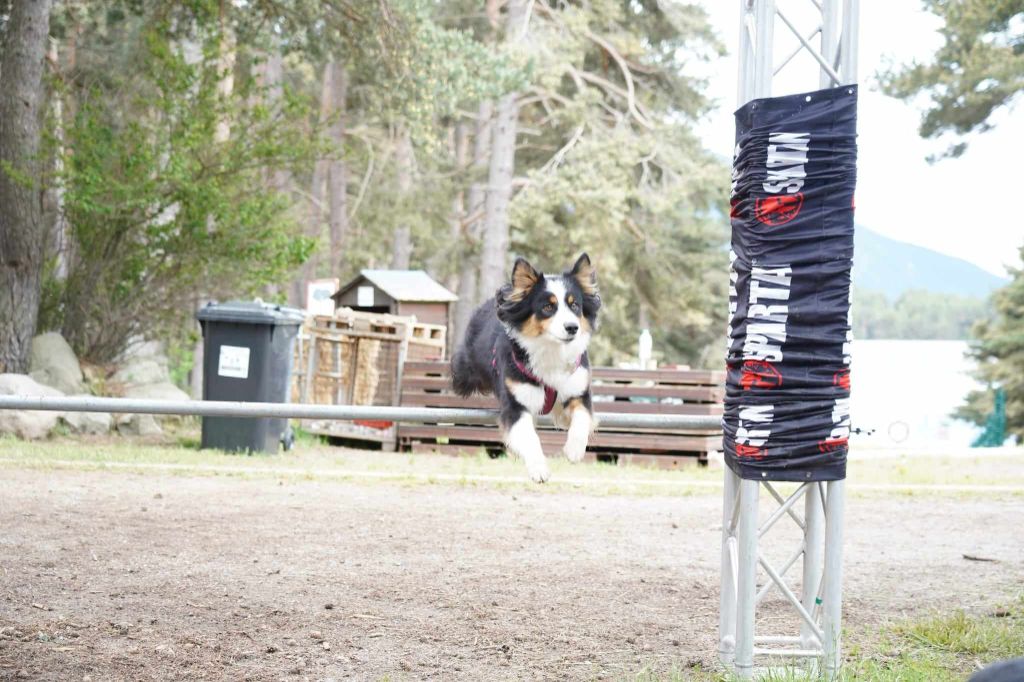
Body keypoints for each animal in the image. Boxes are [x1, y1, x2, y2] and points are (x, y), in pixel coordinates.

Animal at [452, 253, 600, 482]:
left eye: (575, 305)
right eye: (548, 307)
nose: (572, 327)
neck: (551, 349)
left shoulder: (578, 389)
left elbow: (582, 417)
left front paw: (574, 449)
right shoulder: (516, 404)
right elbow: (529, 437)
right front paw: (538, 469)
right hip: (466, 372)